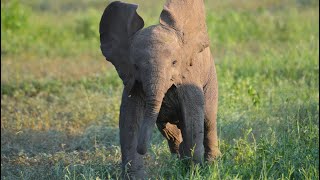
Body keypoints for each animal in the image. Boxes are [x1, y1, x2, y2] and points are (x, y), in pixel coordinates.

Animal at [99, 0, 220, 179]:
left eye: (175, 62)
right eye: (135, 66)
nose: (142, 150)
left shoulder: (188, 78)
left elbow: (193, 116)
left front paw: (195, 172)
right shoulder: (134, 83)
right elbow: (129, 119)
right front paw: (134, 177)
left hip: (211, 77)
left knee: (208, 119)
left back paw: (211, 164)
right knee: (168, 129)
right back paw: (179, 159)